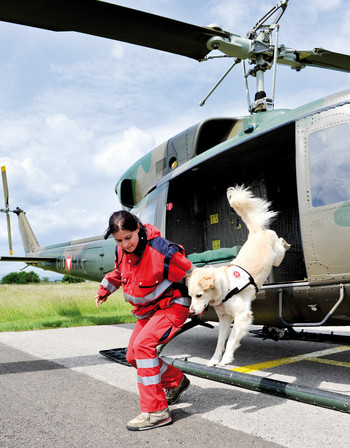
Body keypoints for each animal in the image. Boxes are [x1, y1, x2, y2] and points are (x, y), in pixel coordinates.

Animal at [187, 186, 292, 368]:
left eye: (199, 295)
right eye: (190, 296)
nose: (191, 311)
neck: (225, 287)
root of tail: (255, 232)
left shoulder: (242, 316)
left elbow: (230, 341)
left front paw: (226, 359)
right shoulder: (224, 319)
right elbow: (220, 342)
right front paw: (214, 360)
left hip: (277, 257)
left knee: (280, 242)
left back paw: (286, 243)